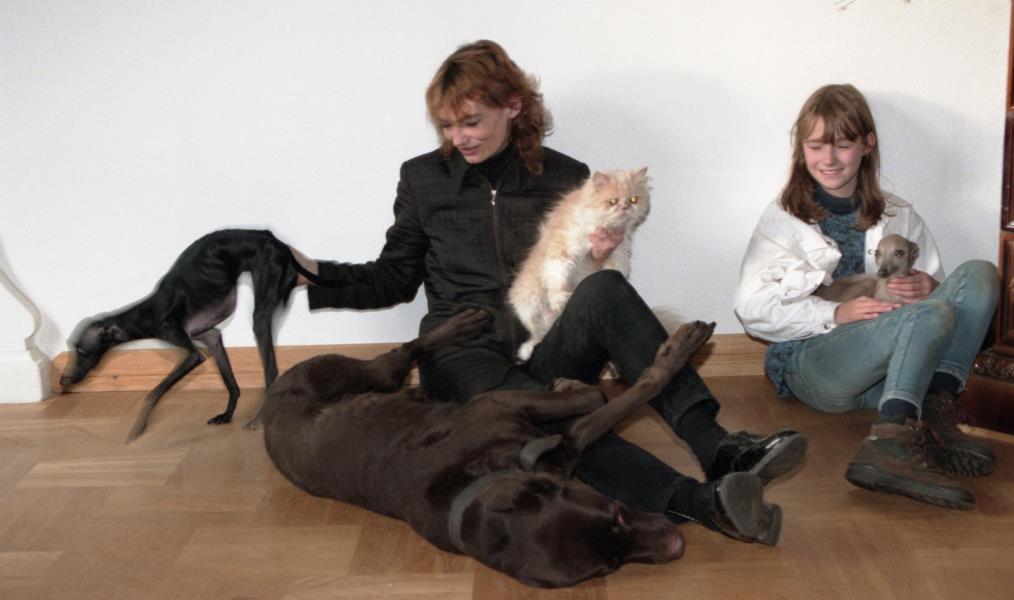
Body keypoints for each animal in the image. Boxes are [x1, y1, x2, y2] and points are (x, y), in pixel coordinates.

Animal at [60, 229, 322, 442]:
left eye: (81, 350)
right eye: (71, 347)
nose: (64, 381)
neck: (148, 312)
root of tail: (276, 241)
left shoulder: (189, 352)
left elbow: (153, 392)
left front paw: (137, 428)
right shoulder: (211, 337)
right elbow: (230, 382)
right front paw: (227, 415)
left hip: (261, 314)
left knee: (271, 371)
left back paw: (259, 419)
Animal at [262, 309, 716, 588]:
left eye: (617, 516)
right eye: (611, 565)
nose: (677, 545)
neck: (472, 491)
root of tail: (270, 402)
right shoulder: (503, 404)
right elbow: (606, 398)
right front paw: (670, 355)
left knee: (406, 352)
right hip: (353, 373)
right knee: (403, 351)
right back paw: (457, 328)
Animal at [509, 167, 651, 363]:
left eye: (634, 200)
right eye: (613, 202)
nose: (625, 207)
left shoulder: (618, 253)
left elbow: (615, 270)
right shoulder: (563, 250)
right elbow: (558, 277)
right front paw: (560, 298)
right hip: (529, 304)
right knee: (536, 336)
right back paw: (527, 350)